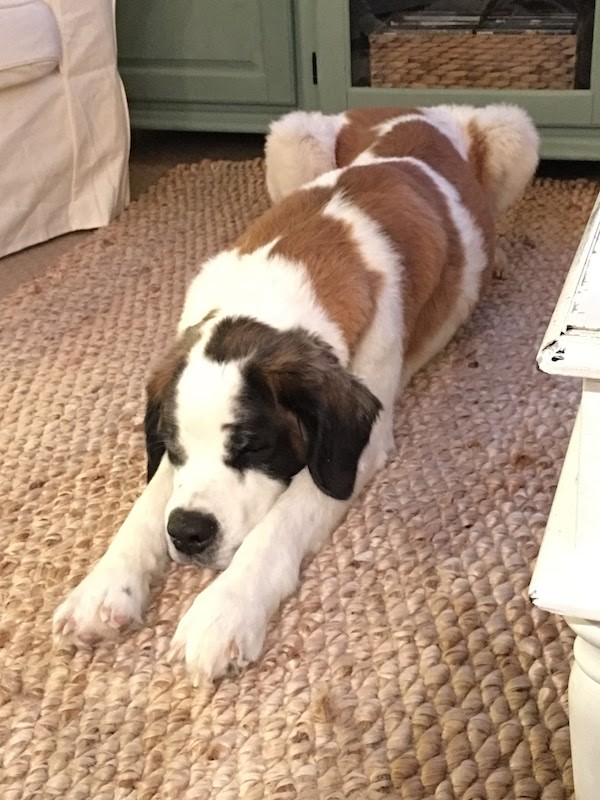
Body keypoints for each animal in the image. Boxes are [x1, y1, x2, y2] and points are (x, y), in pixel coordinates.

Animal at [52, 104, 540, 680]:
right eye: (171, 446)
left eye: (253, 447)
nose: (189, 533)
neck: (274, 292)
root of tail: (412, 109)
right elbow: (147, 507)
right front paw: (103, 588)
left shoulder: (354, 447)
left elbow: (279, 524)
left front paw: (224, 611)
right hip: (290, 138)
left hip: (513, 131)